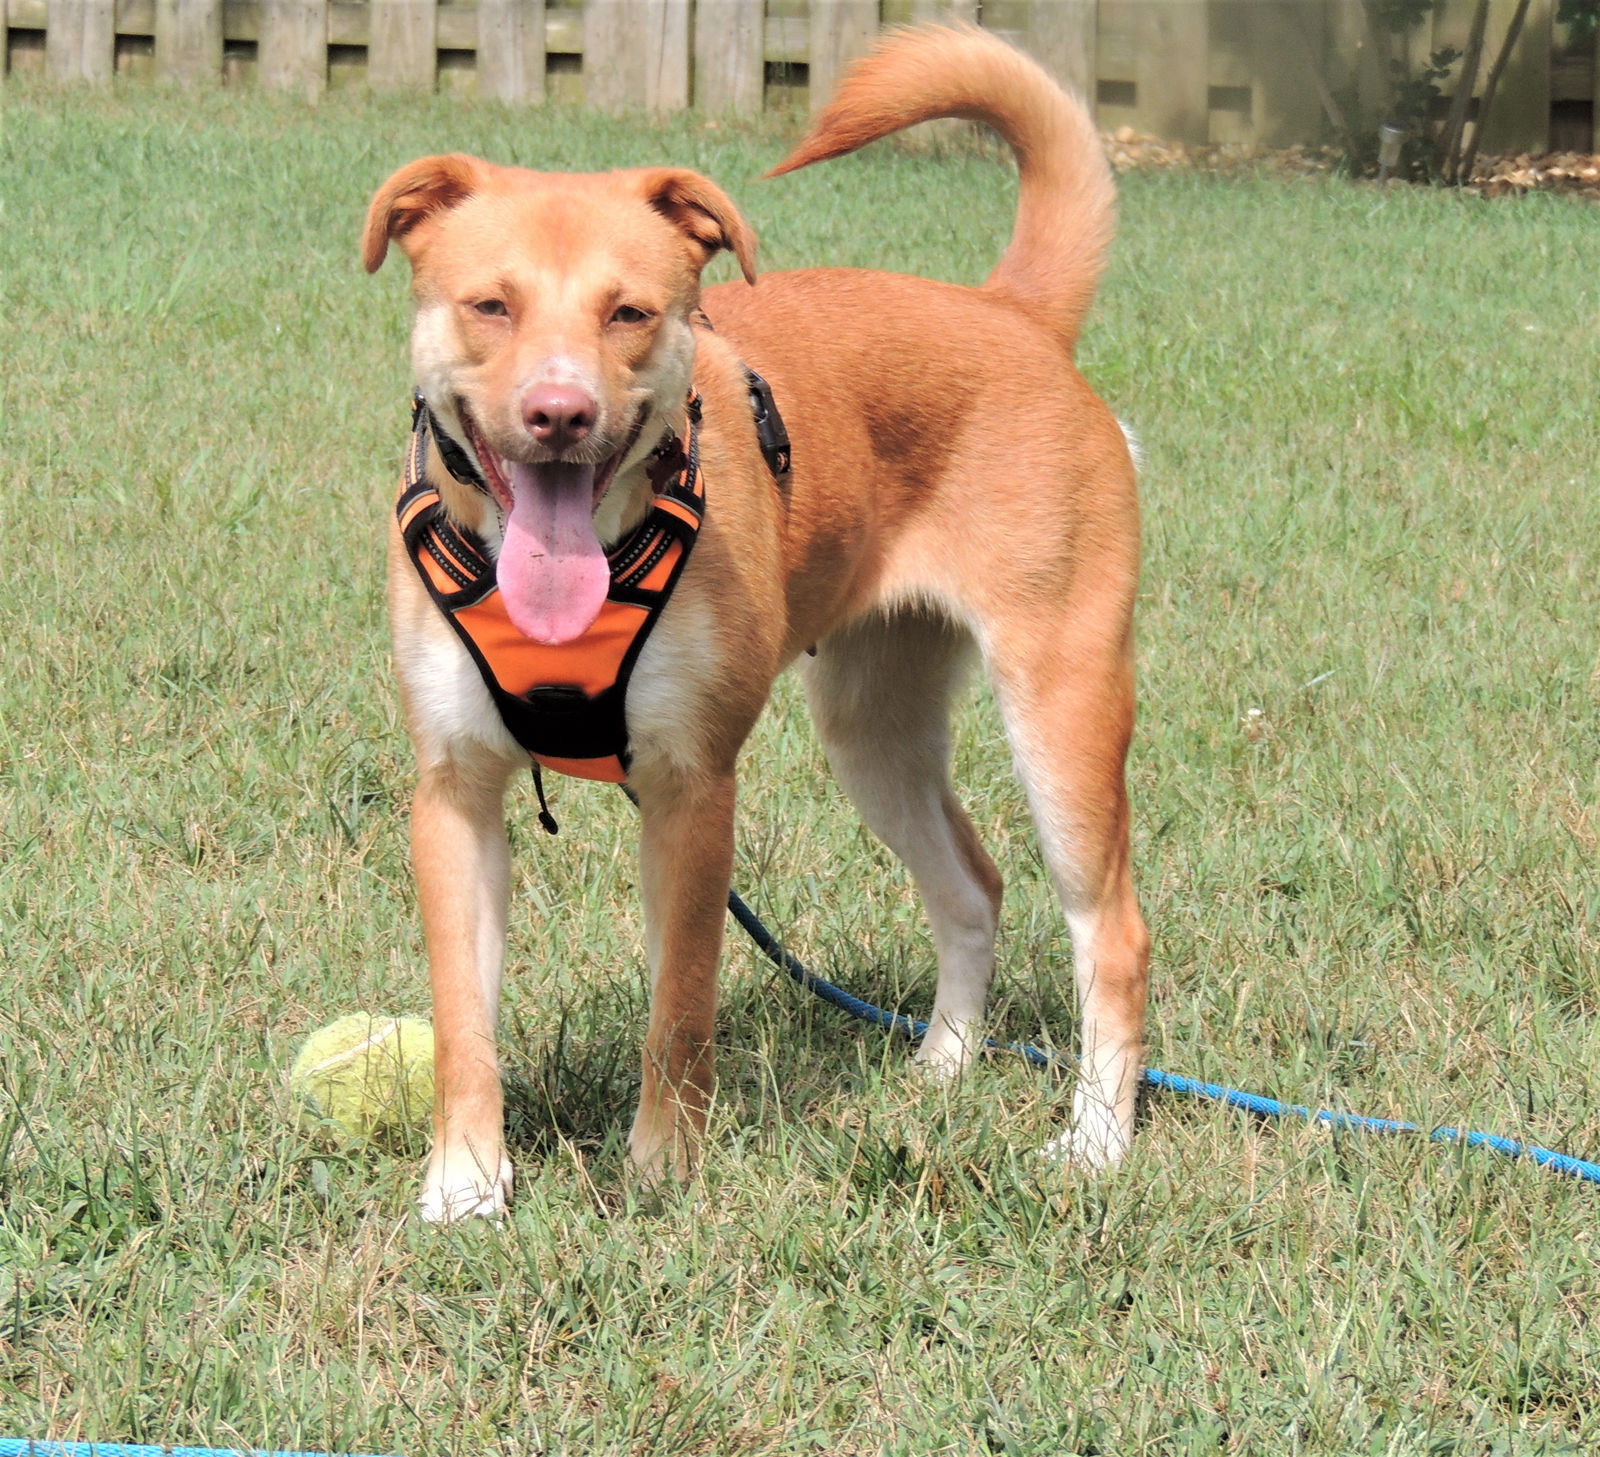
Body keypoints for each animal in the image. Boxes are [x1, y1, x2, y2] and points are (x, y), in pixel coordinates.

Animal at [360, 28, 1152, 1221]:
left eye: (630, 311)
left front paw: (660, 1171)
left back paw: (1098, 1141)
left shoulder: (693, 785)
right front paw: (465, 1181)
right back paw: (941, 1064)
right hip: (873, 725)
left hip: (1063, 708)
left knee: (1112, 931)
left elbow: (679, 1005)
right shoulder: (454, 789)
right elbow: (463, 1020)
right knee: (971, 883)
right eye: (489, 306)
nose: (559, 414)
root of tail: (1012, 311)